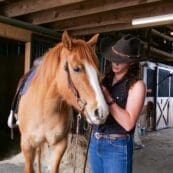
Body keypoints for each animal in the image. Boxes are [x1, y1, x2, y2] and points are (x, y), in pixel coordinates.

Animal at [17, 31, 109, 173]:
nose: (101, 112)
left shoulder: (60, 145)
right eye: (76, 68)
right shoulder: (27, 145)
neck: (44, 108)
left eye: (97, 70)